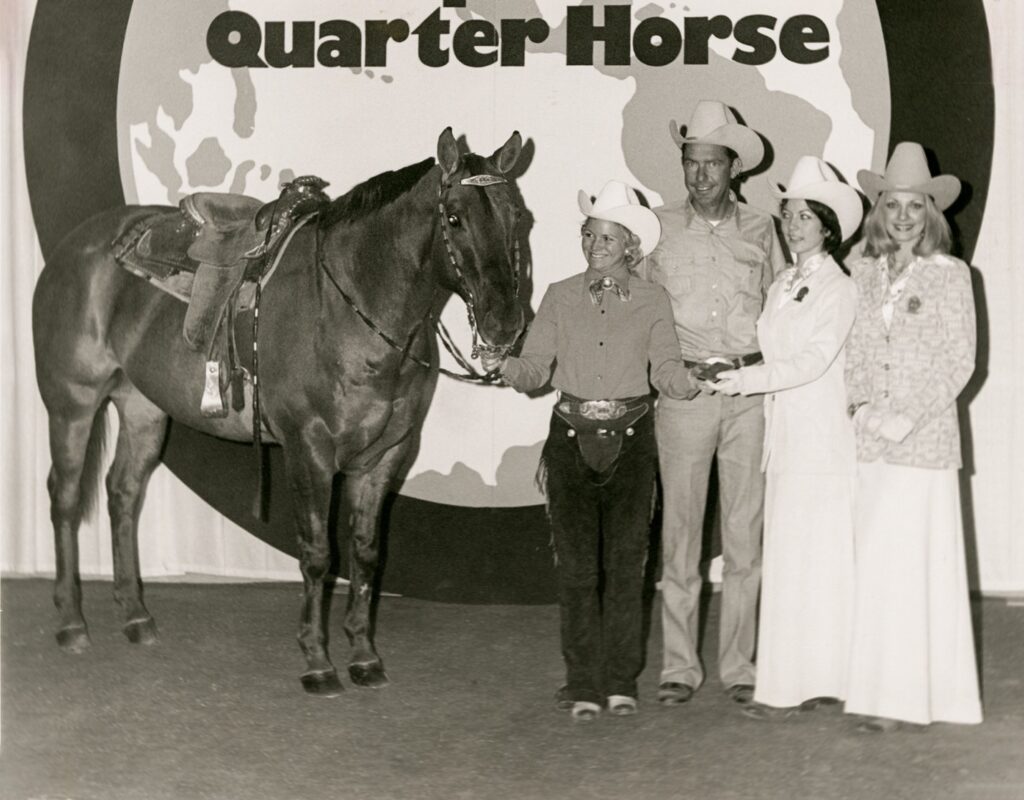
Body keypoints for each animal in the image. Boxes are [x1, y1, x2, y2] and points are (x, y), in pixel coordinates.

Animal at [35, 129, 524, 692]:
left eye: (516, 215)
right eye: (455, 217)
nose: (505, 323)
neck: (350, 307)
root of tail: (77, 246)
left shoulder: (386, 455)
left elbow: (365, 553)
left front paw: (363, 655)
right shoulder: (308, 450)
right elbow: (317, 555)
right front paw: (316, 660)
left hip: (143, 410)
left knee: (123, 493)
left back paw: (136, 616)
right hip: (72, 403)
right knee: (66, 497)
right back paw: (71, 622)